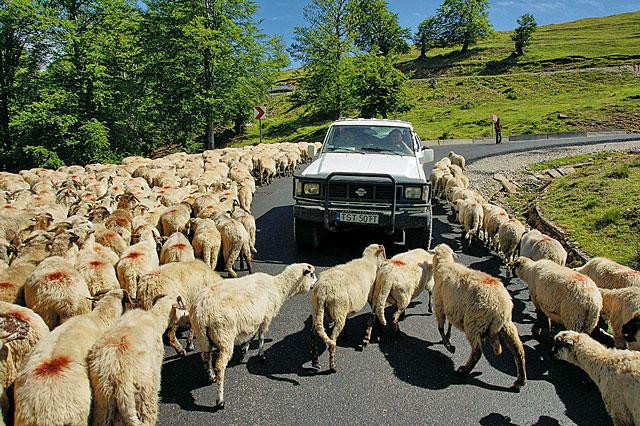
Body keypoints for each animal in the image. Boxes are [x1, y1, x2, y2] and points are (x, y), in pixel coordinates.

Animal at [189, 262, 316, 408]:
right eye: (311, 274)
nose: (316, 282)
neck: (278, 286)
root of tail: (202, 312)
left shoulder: (255, 319)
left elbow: (252, 336)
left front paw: (244, 350)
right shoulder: (266, 318)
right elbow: (260, 338)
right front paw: (261, 356)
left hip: (202, 335)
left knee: (206, 356)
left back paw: (211, 376)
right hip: (224, 335)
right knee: (220, 366)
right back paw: (220, 400)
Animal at [430, 243, 524, 390]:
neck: (444, 264)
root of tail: (501, 307)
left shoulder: (440, 305)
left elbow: (440, 328)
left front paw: (448, 345)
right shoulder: (452, 308)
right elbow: (449, 325)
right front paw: (448, 338)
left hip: (474, 322)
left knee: (477, 352)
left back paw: (463, 370)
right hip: (507, 324)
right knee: (518, 350)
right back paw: (520, 381)